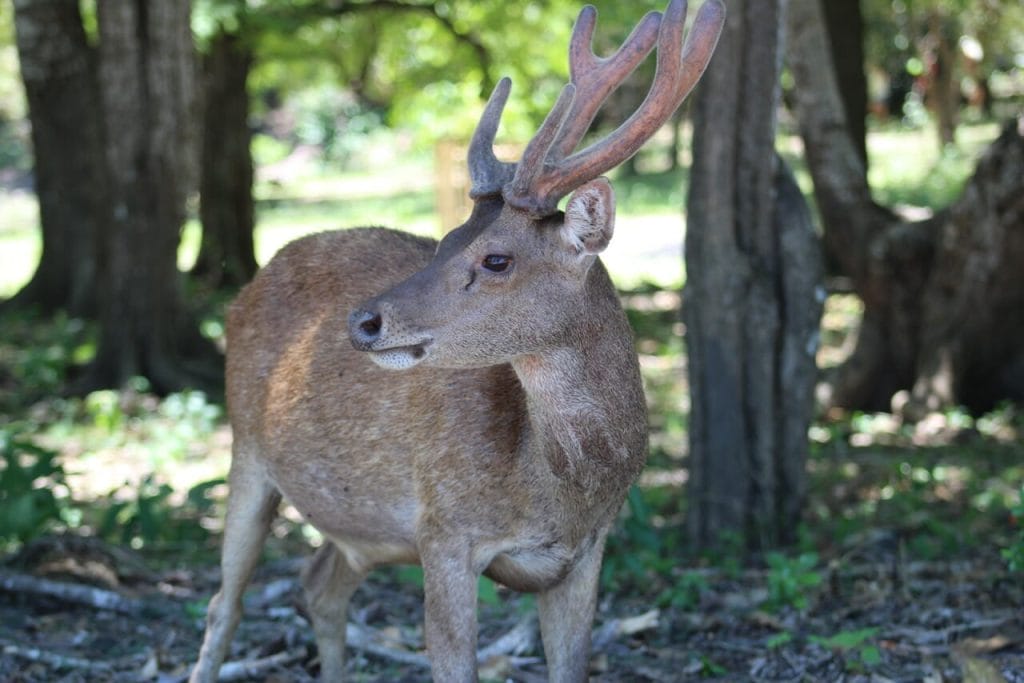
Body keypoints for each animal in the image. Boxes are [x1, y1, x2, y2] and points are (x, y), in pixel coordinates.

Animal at [190, 2, 720, 679]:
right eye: (442, 241)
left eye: (496, 258)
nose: (363, 321)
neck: (558, 492)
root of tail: (247, 286)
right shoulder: (443, 529)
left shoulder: (587, 555)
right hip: (246, 450)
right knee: (222, 605)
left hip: (364, 531)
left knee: (319, 585)